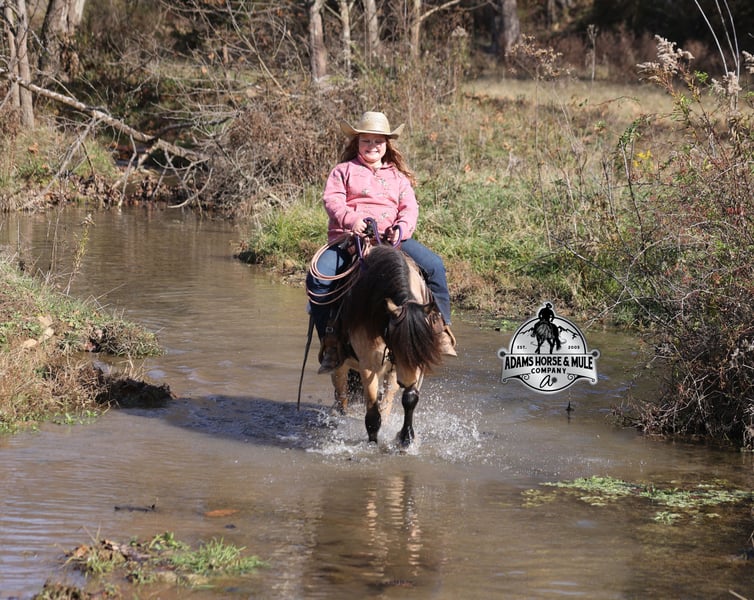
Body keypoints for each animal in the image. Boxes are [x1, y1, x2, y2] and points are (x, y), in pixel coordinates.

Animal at [331, 243, 444, 446]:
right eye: (397, 343)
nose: (407, 380)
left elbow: (408, 399)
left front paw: (406, 438)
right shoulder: (369, 365)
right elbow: (372, 414)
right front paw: (372, 444)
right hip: (340, 362)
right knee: (341, 395)